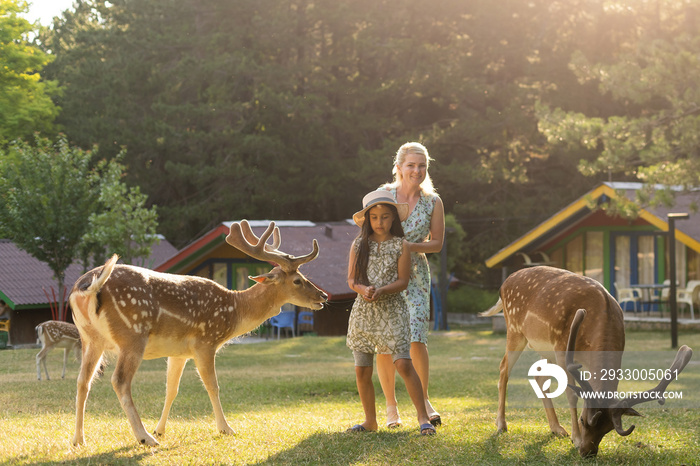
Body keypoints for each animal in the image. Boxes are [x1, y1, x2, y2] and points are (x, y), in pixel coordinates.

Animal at [69, 222, 326, 448]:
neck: (234, 311)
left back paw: (79, 439)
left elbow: (171, 389)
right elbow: (213, 386)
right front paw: (226, 428)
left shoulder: (178, 352)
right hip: (132, 334)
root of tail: (86, 287)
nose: (322, 296)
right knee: (119, 380)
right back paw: (144, 438)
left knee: (83, 381)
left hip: (91, 339)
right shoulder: (206, 341)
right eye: (298, 280)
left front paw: (160, 429)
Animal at [482, 268, 696, 456]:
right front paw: (576, 439)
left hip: (544, 347)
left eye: (608, 429)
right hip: (515, 330)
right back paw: (501, 425)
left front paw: (572, 436)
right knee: (504, 368)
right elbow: (571, 394)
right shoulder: (562, 349)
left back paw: (557, 428)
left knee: (539, 376)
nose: (588, 453)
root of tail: (504, 283)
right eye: (583, 420)